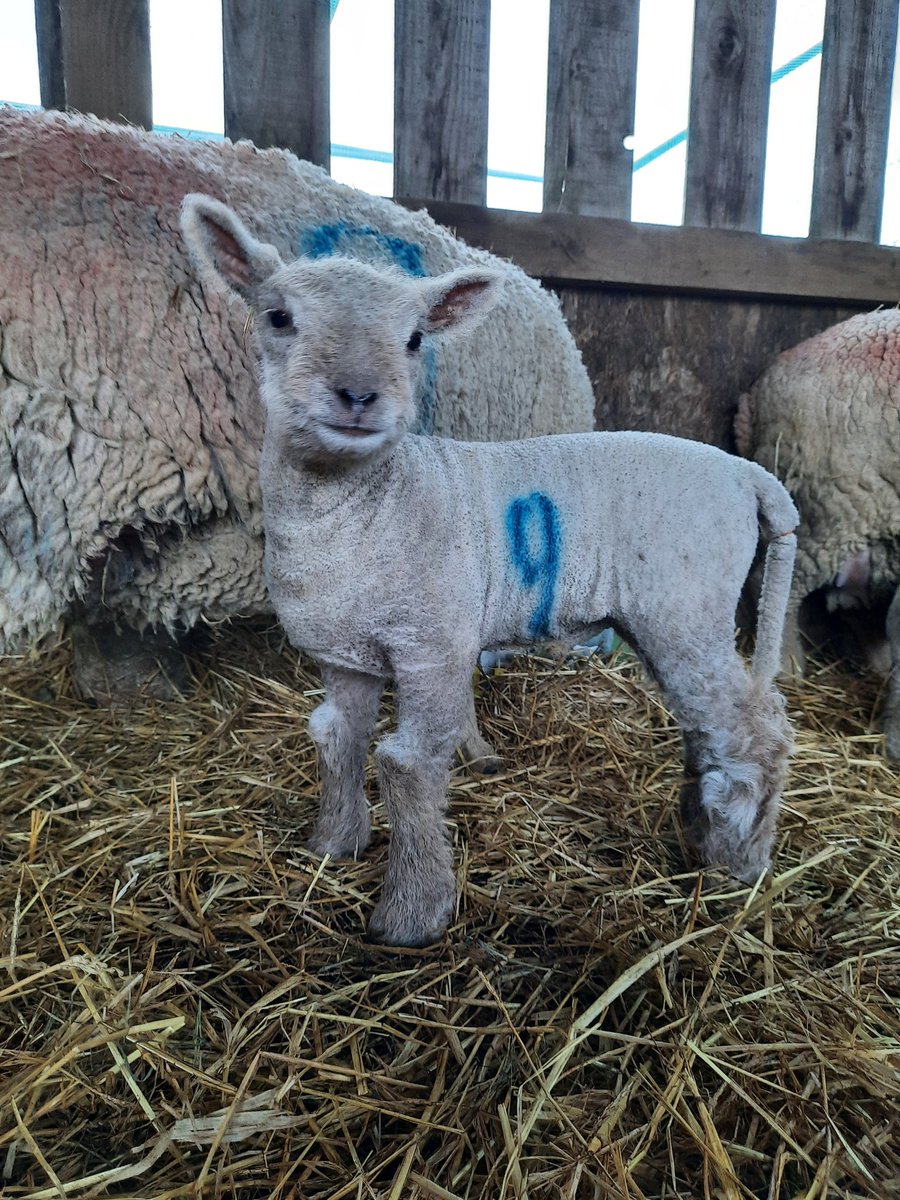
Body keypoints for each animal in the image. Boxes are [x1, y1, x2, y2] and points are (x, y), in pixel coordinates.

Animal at [181, 194, 798, 947]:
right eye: (277, 316)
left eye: (416, 338)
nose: (357, 395)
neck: (367, 507)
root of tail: (748, 475)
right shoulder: (344, 653)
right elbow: (337, 737)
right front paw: (333, 844)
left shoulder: (431, 647)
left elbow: (407, 763)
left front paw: (411, 914)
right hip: (673, 619)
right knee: (713, 728)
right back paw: (699, 829)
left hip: (687, 607)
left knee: (755, 733)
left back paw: (740, 859)